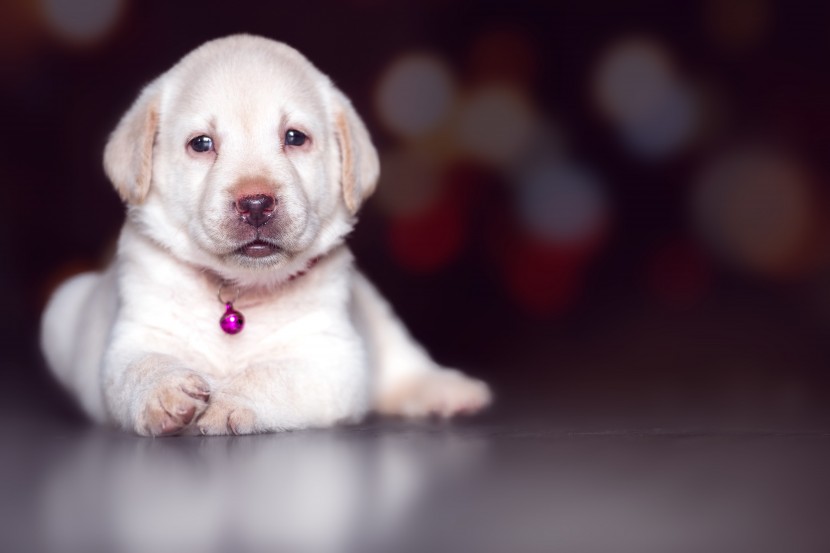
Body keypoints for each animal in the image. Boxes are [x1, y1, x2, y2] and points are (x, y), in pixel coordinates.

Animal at [40, 34, 494, 436]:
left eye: (294, 137)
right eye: (201, 144)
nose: (256, 204)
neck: (237, 294)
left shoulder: (331, 357)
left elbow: (271, 375)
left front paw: (231, 401)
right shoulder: (132, 338)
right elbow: (140, 366)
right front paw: (164, 392)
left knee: (403, 360)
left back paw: (446, 389)